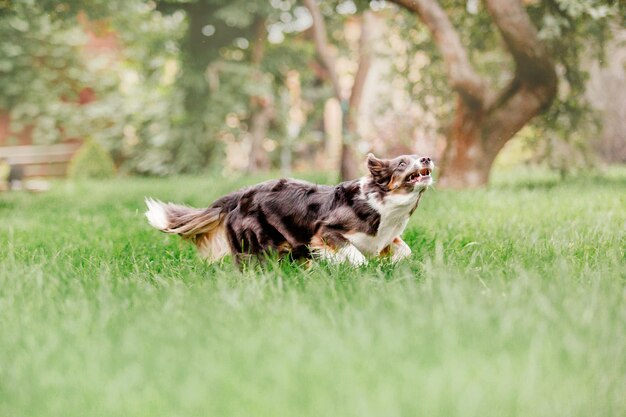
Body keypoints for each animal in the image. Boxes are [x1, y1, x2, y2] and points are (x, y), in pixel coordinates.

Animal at [144, 152, 432, 264]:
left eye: (418, 156)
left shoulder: (387, 237)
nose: (427, 158)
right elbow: (356, 256)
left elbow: (405, 251)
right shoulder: (327, 231)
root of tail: (240, 194)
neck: (384, 205)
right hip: (257, 242)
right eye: (402, 163)